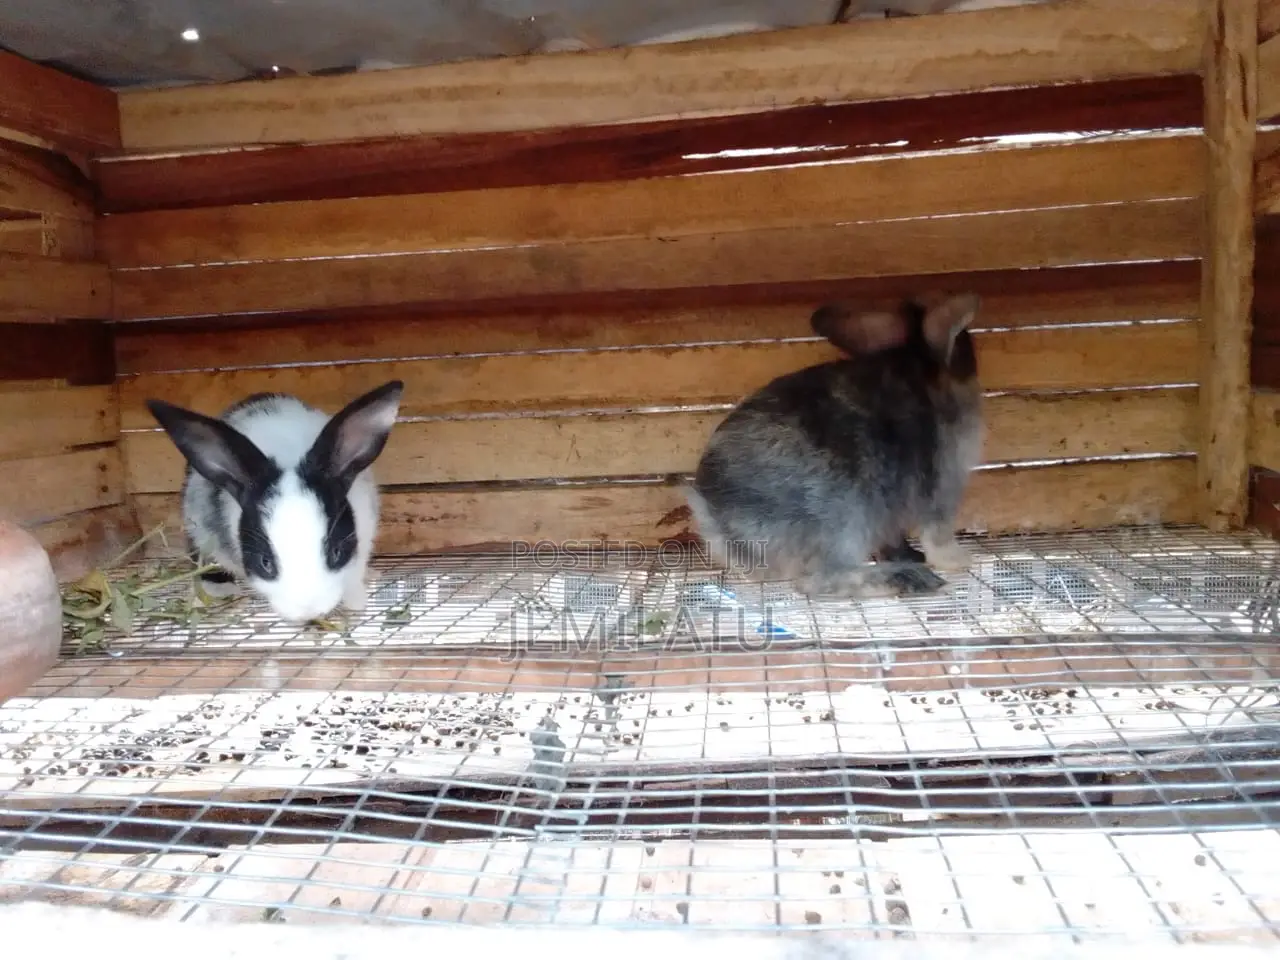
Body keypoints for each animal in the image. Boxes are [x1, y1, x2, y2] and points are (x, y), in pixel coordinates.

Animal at [686, 293, 983, 600]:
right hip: (844, 519)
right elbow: (938, 533)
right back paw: (907, 579)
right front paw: (960, 560)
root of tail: (712, 513)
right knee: (818, 581)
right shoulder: (942, 485)